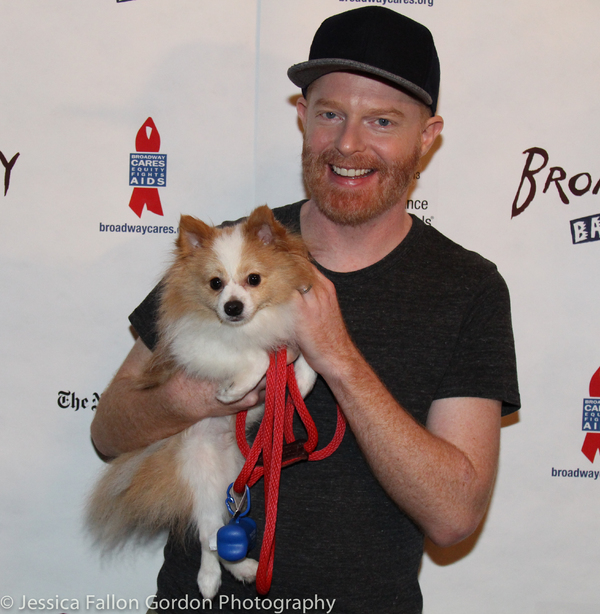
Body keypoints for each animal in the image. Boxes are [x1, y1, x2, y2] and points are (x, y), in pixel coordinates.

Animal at [88, 207, 318, 600]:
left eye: (254, 279)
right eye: (215, 284)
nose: (232, 307)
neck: (250, 327)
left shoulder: (294, 330)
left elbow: (304, 357)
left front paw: (300, 382)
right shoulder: (196, 349)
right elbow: (256, 357)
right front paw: (233, 390)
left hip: (232, 483)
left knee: (218, 536)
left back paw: (240, 569)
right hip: (201, 476)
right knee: (209, 538)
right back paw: (210, 580)